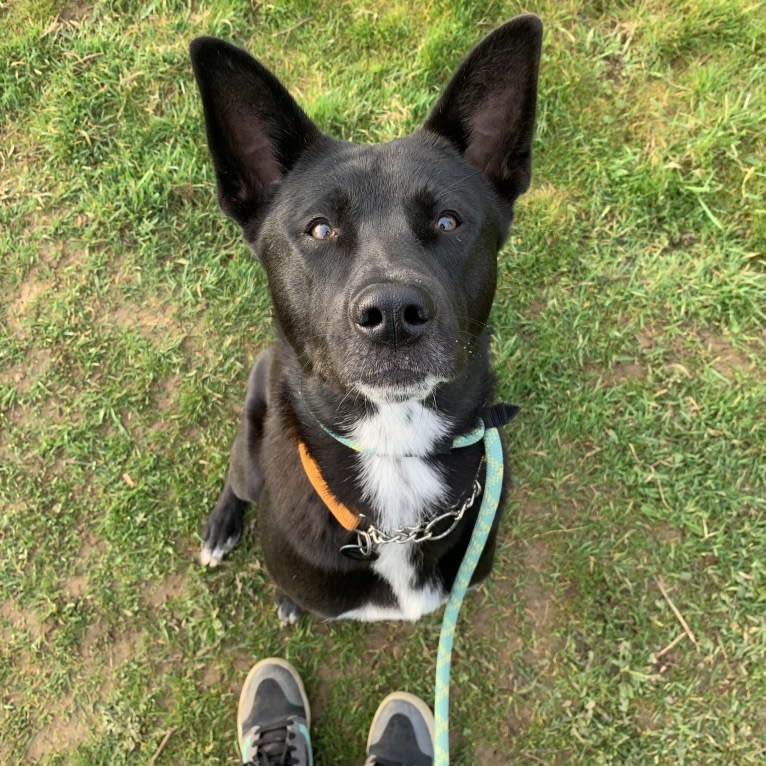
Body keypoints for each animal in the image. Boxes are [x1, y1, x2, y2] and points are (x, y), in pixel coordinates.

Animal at [189, 15, 544, 624]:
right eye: (320, 228)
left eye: (449, 221)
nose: (394, 314)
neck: (394, 451)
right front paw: (286, 596)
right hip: (250, 451)